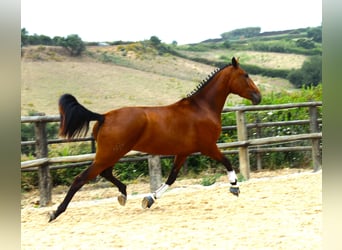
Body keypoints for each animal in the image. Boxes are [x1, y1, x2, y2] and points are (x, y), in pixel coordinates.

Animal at [48, 57, 262, 223]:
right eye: (245, 75)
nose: (258, 97)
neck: (202, 108)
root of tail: (104, 116)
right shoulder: (208, 146)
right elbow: (227, 161)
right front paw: (235, 187)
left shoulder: (183, 152)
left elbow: (171, 178)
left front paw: (149, 199)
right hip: (110, 153)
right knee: (81, 178)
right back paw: (55, 213)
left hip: (112, 153)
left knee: (105, 173)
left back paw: (123, 194)